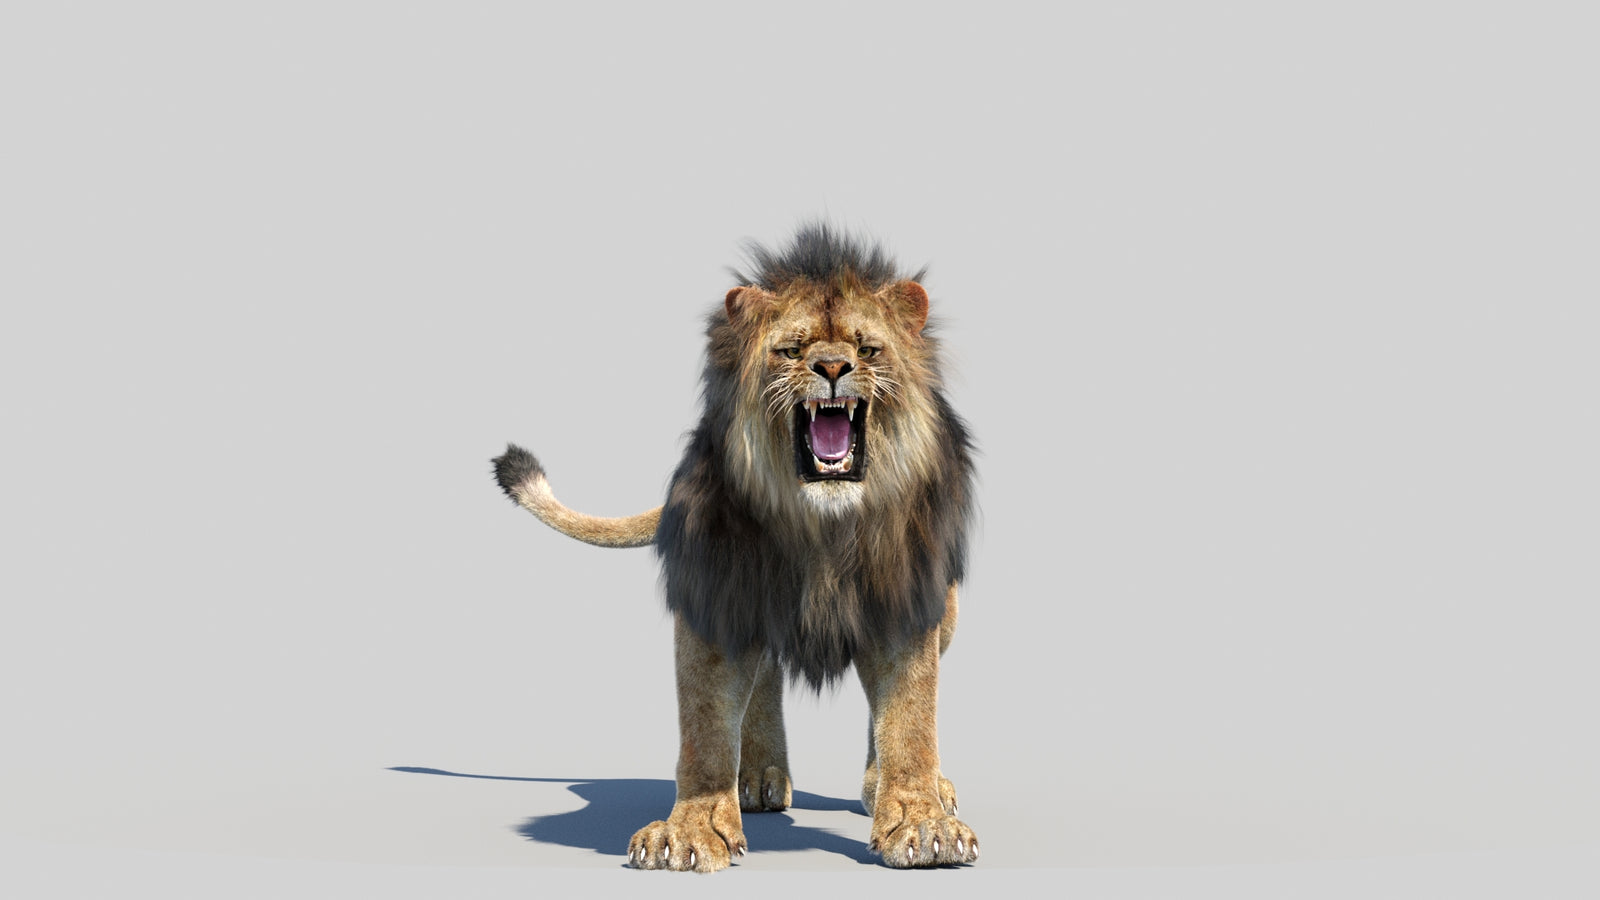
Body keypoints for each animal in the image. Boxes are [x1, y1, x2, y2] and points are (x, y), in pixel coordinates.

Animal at [492, 224, 978, 871]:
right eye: (792, 351)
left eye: (868, 349)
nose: (832, 366)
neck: (821, 525)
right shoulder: (717, 592)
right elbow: (704, 724)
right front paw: (690, 830)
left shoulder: (905, 598)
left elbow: (909, 717)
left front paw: (922, 823)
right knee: (764, 673)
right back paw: (760, 778)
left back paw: (884, 787)